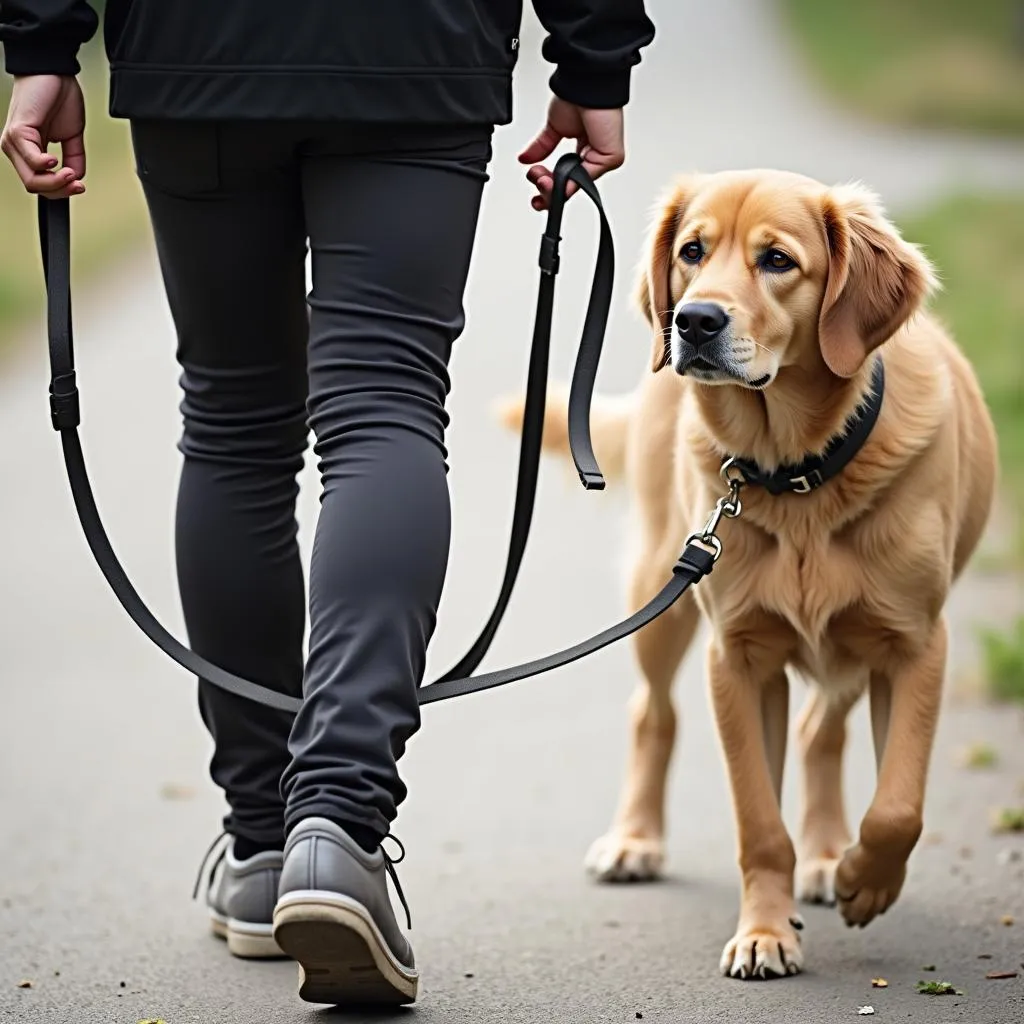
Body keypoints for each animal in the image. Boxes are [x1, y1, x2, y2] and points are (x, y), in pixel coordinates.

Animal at [499, 172, 995, 978]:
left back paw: (827, 856)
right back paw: (636, 841)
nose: (694, 321)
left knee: (821, 730)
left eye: (778, 261)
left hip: (846, 646)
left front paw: (862, 878)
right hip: (660, 595)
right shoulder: (738, 657)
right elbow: (759, 822)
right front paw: (765, 932)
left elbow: (898, 805)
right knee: (652, 713)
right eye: (692, 252)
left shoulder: (916, 646)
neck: (799, 471)